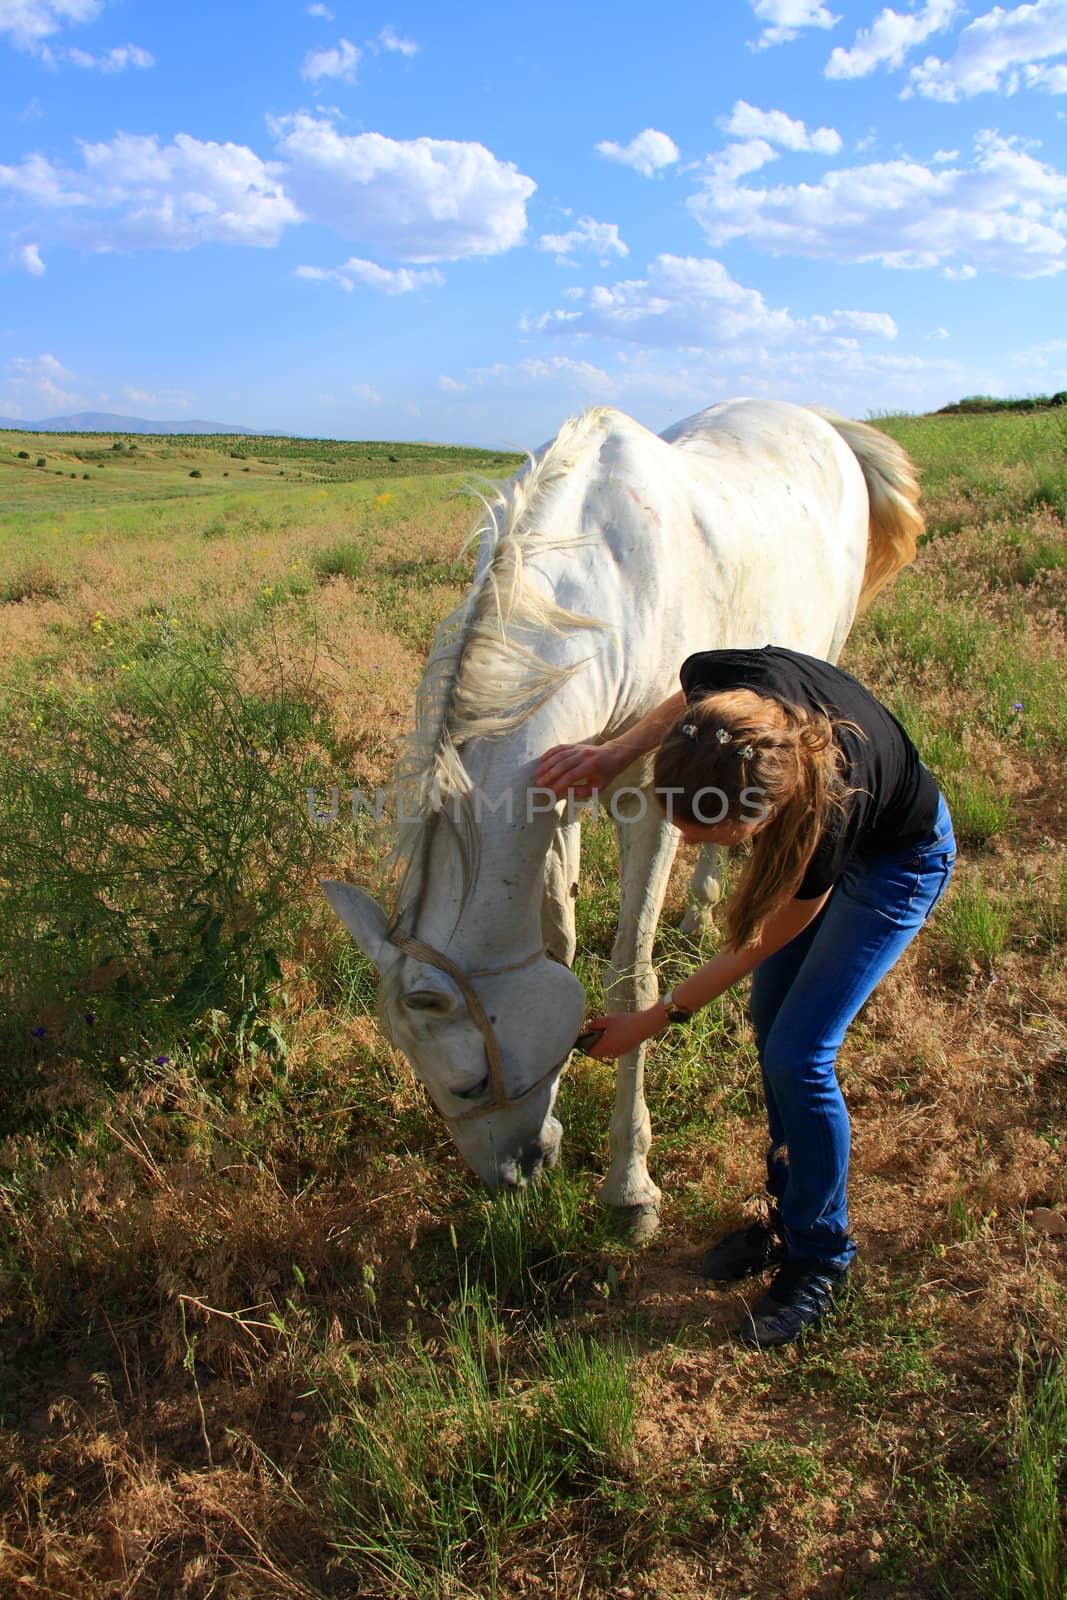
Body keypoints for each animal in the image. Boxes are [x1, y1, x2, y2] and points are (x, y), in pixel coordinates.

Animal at [323, 393, 921, 1228]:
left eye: (470, 1082)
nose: (510, 1174)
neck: (599, 597)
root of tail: (818, 420)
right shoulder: (559, 797)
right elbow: (560, 942)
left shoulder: (652, 808)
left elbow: (629, 984)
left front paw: (629, 1186)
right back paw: (701, 912)